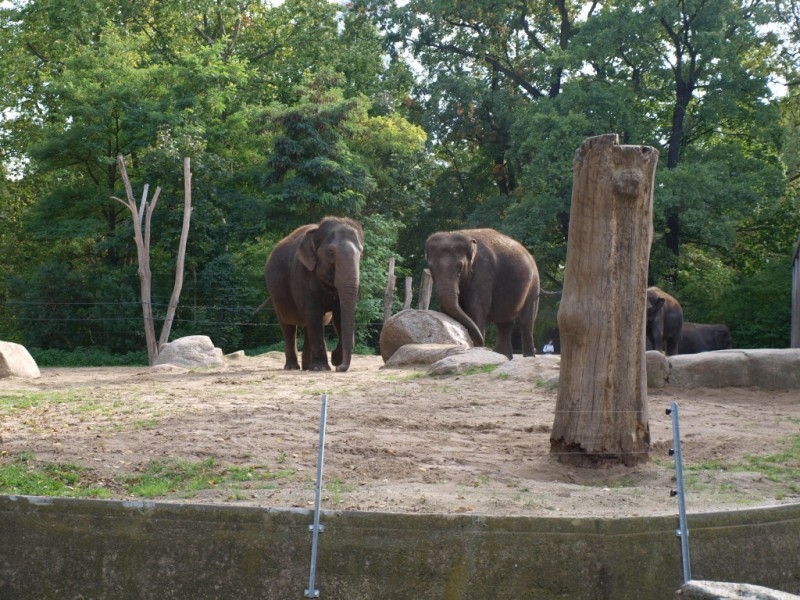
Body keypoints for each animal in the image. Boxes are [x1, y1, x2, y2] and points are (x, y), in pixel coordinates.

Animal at [264, 218, 364, 372]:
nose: (339, 367)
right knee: (288, 327)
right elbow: (314, 313)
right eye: (331, 252)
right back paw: (292, 367)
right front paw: (322, 368)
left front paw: (334, 360)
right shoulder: (301, 275)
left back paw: (307, 367)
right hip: (276, 297)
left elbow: (339, 315)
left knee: (308, 326)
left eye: (361, 254)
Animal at [424, 227, 536, 358]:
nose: (482, 341)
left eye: (460, 267)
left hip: (534, 285)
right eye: (431, 268)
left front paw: (478, 349)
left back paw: (529, 357)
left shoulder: (483, 272)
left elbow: (476, 309)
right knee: (504, 323)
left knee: (526, 321)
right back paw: (504, 356)